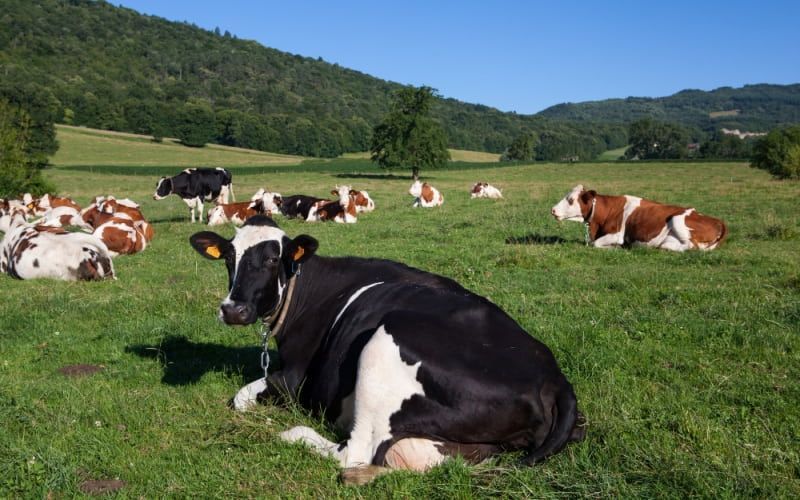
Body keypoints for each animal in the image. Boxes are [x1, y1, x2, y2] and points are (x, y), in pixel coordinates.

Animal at [189, 216, 584, 482]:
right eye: (229, 258)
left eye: (273, 259)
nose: (233, 310)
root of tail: (554, 378)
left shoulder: (295, 379)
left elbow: (241, 398)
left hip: (385, 341)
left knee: (354, 452)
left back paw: (293, 434)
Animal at [551, 184, 728, 251]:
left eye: (570, 200)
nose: (552, 210)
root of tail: (718, 221)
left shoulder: (617, 234)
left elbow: (596, 243)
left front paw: (615, 247)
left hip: (677, 219)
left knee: (692, 246)